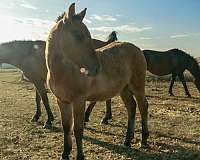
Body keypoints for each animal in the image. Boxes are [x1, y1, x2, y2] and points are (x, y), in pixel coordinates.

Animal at [45, 3, 148, 159]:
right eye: (78, 35)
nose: (96, 68)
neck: (63, 71)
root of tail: (137, 49)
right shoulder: (62, 101)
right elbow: (66, 127)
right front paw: (65, 153)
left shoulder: (79, 100)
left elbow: (78, 129)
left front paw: (80, 156)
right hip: (123, 89)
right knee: (131, 107)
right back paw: (127, 140)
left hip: (137, 86)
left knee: (143, 107)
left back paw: (144, 139)